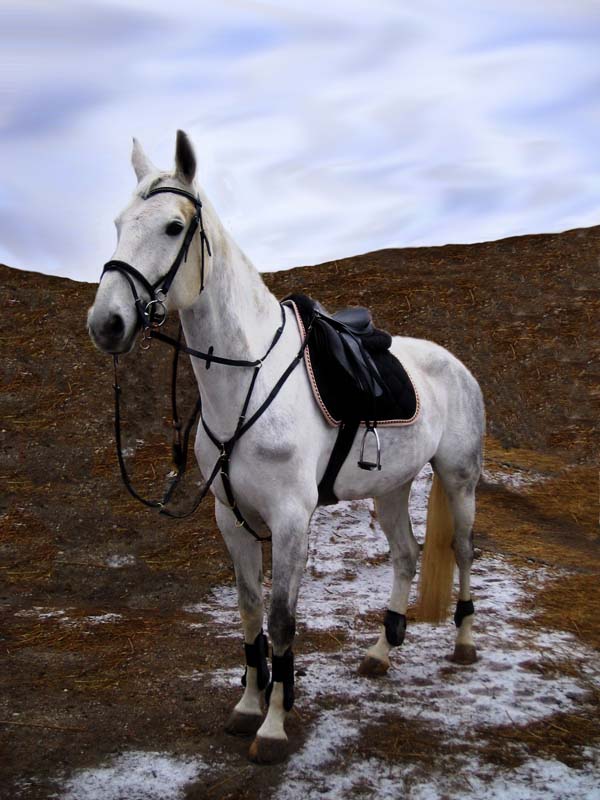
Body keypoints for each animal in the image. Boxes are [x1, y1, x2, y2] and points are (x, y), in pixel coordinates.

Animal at [87, 130, 485, 764]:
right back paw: (381, 650)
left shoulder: (292, 519)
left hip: (459, 478)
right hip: (392, 488)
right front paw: (250, 705)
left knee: (465, 552)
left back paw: (465, 642)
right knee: (405, 555)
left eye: (174, 227)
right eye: (120, 223)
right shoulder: (232, 518)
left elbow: (280, 621)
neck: (247, 376)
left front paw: (274, 727)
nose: (108, 323)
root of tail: (454, 364)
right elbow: (250, 614)